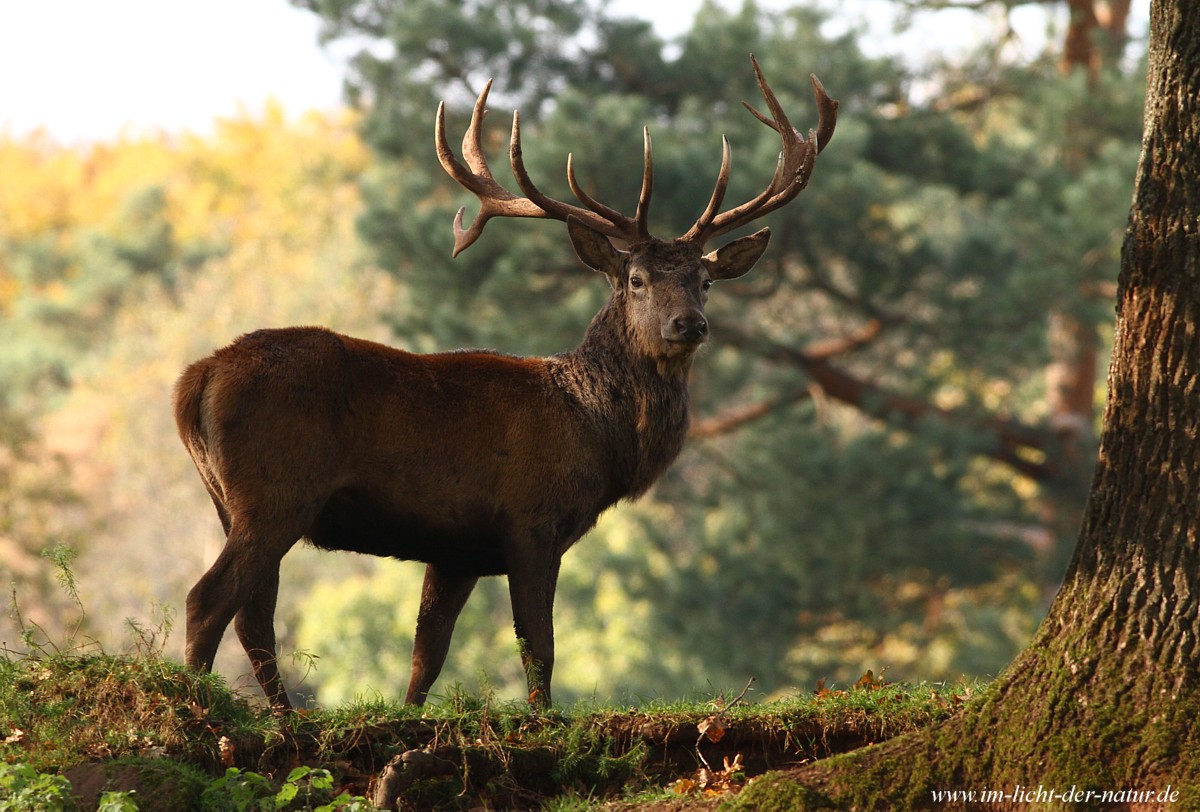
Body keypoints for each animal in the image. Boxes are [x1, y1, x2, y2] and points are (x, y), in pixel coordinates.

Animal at [175, 53, 835, 705]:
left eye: (705, 280)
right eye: (637, 279)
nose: (689, 324)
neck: (596, 435)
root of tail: (196, 379)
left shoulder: (457, 549)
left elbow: (427, 656)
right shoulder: (531, 519)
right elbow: (539, 647)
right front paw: (544, 720)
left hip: (229, 500)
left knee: (252, 615)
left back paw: (280, 715)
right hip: (277, 489)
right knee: (210, 598)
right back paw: (200, 704)